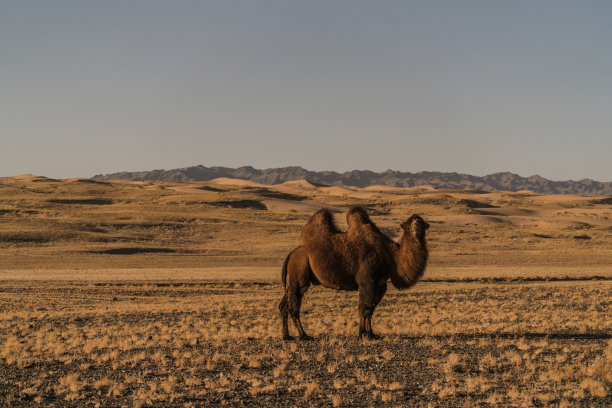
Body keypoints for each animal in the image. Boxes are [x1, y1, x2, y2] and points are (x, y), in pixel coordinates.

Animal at [278, 206, 428, 340]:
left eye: (421, 223)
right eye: (411, 224)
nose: (417, 230)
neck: (390, 255)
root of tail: (292, 253)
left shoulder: (380, 284)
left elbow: (371, 309)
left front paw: (371, 334)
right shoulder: (367, 281)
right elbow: (364, 309)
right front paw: (362, 334)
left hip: (293, 280)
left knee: (284, 305)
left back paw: (287, 336)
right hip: (299, 273)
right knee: (294, 306)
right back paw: (304, 335)